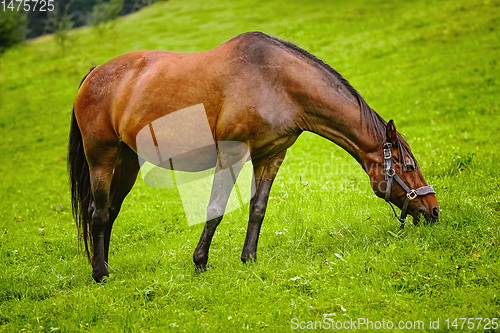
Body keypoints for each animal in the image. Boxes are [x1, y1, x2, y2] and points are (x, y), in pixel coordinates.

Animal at [69, 31, 438, 282]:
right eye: (408, 166)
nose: (434, 210)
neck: (275, 81)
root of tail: (94, 73)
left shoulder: (271, 156)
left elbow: (258, 208)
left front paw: (249, 258)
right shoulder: (231, 154)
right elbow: (215, 209)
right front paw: (200, 262)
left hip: (126, 162)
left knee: (109, 212)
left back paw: (102, 266)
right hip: (101, 157)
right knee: (98, 212)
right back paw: (101, 274)